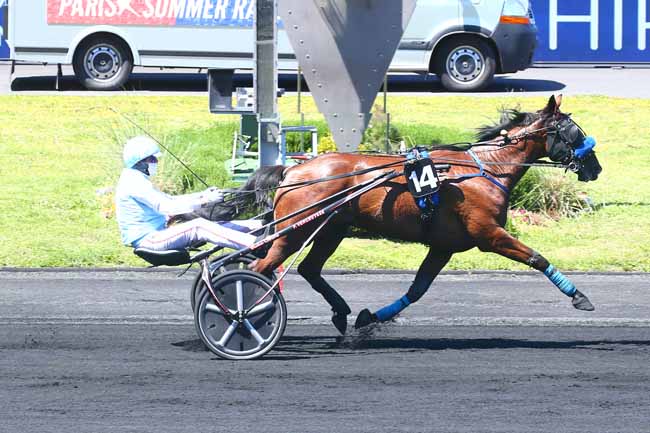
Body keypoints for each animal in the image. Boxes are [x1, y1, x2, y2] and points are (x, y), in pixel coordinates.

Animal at [205, 95, 602, 335]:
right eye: (572, 131)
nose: (595, 167)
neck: (486, 169)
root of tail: (293, 169)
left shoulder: (443, 246)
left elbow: (417, 289)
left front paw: (369, 319)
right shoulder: (488, 235)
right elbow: (537, 258)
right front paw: (580, 297)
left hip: (330, 229)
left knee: (305, 269)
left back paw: (339, 313)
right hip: (295, 230)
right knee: (261, 270)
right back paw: (242, 315)